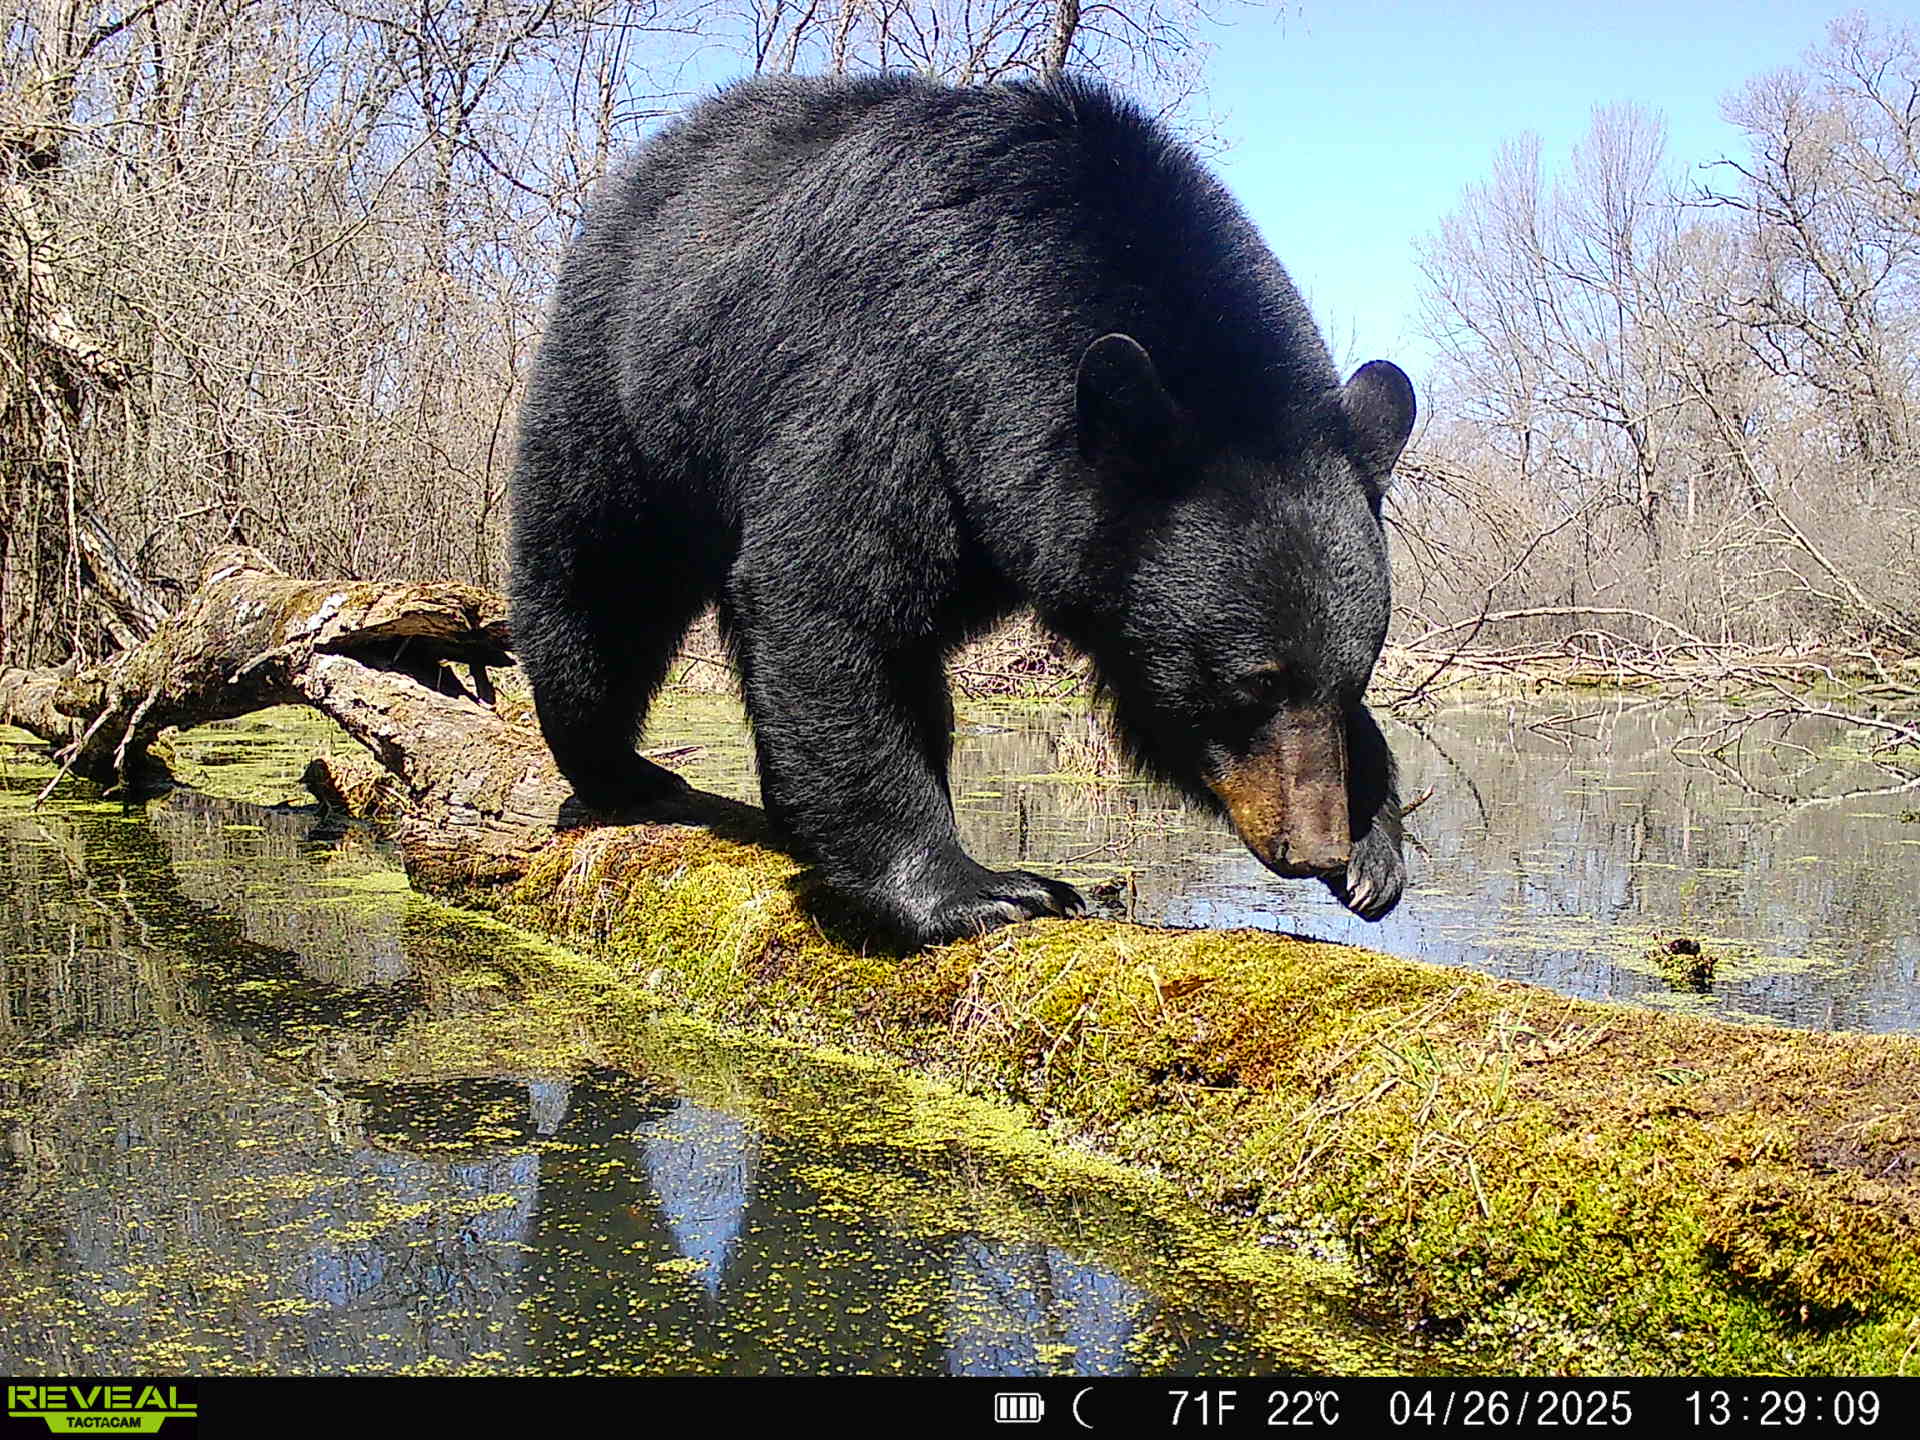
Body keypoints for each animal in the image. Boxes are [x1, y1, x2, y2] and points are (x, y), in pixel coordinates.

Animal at [508, 72, 1416, 947]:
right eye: (1250, 684)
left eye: (1352, 677)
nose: (1314, 847)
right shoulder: (885, 379)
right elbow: (836, 602)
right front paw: (977, 889)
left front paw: (1376, 840)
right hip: (624, 389)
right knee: (598, 578)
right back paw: (616, 769)